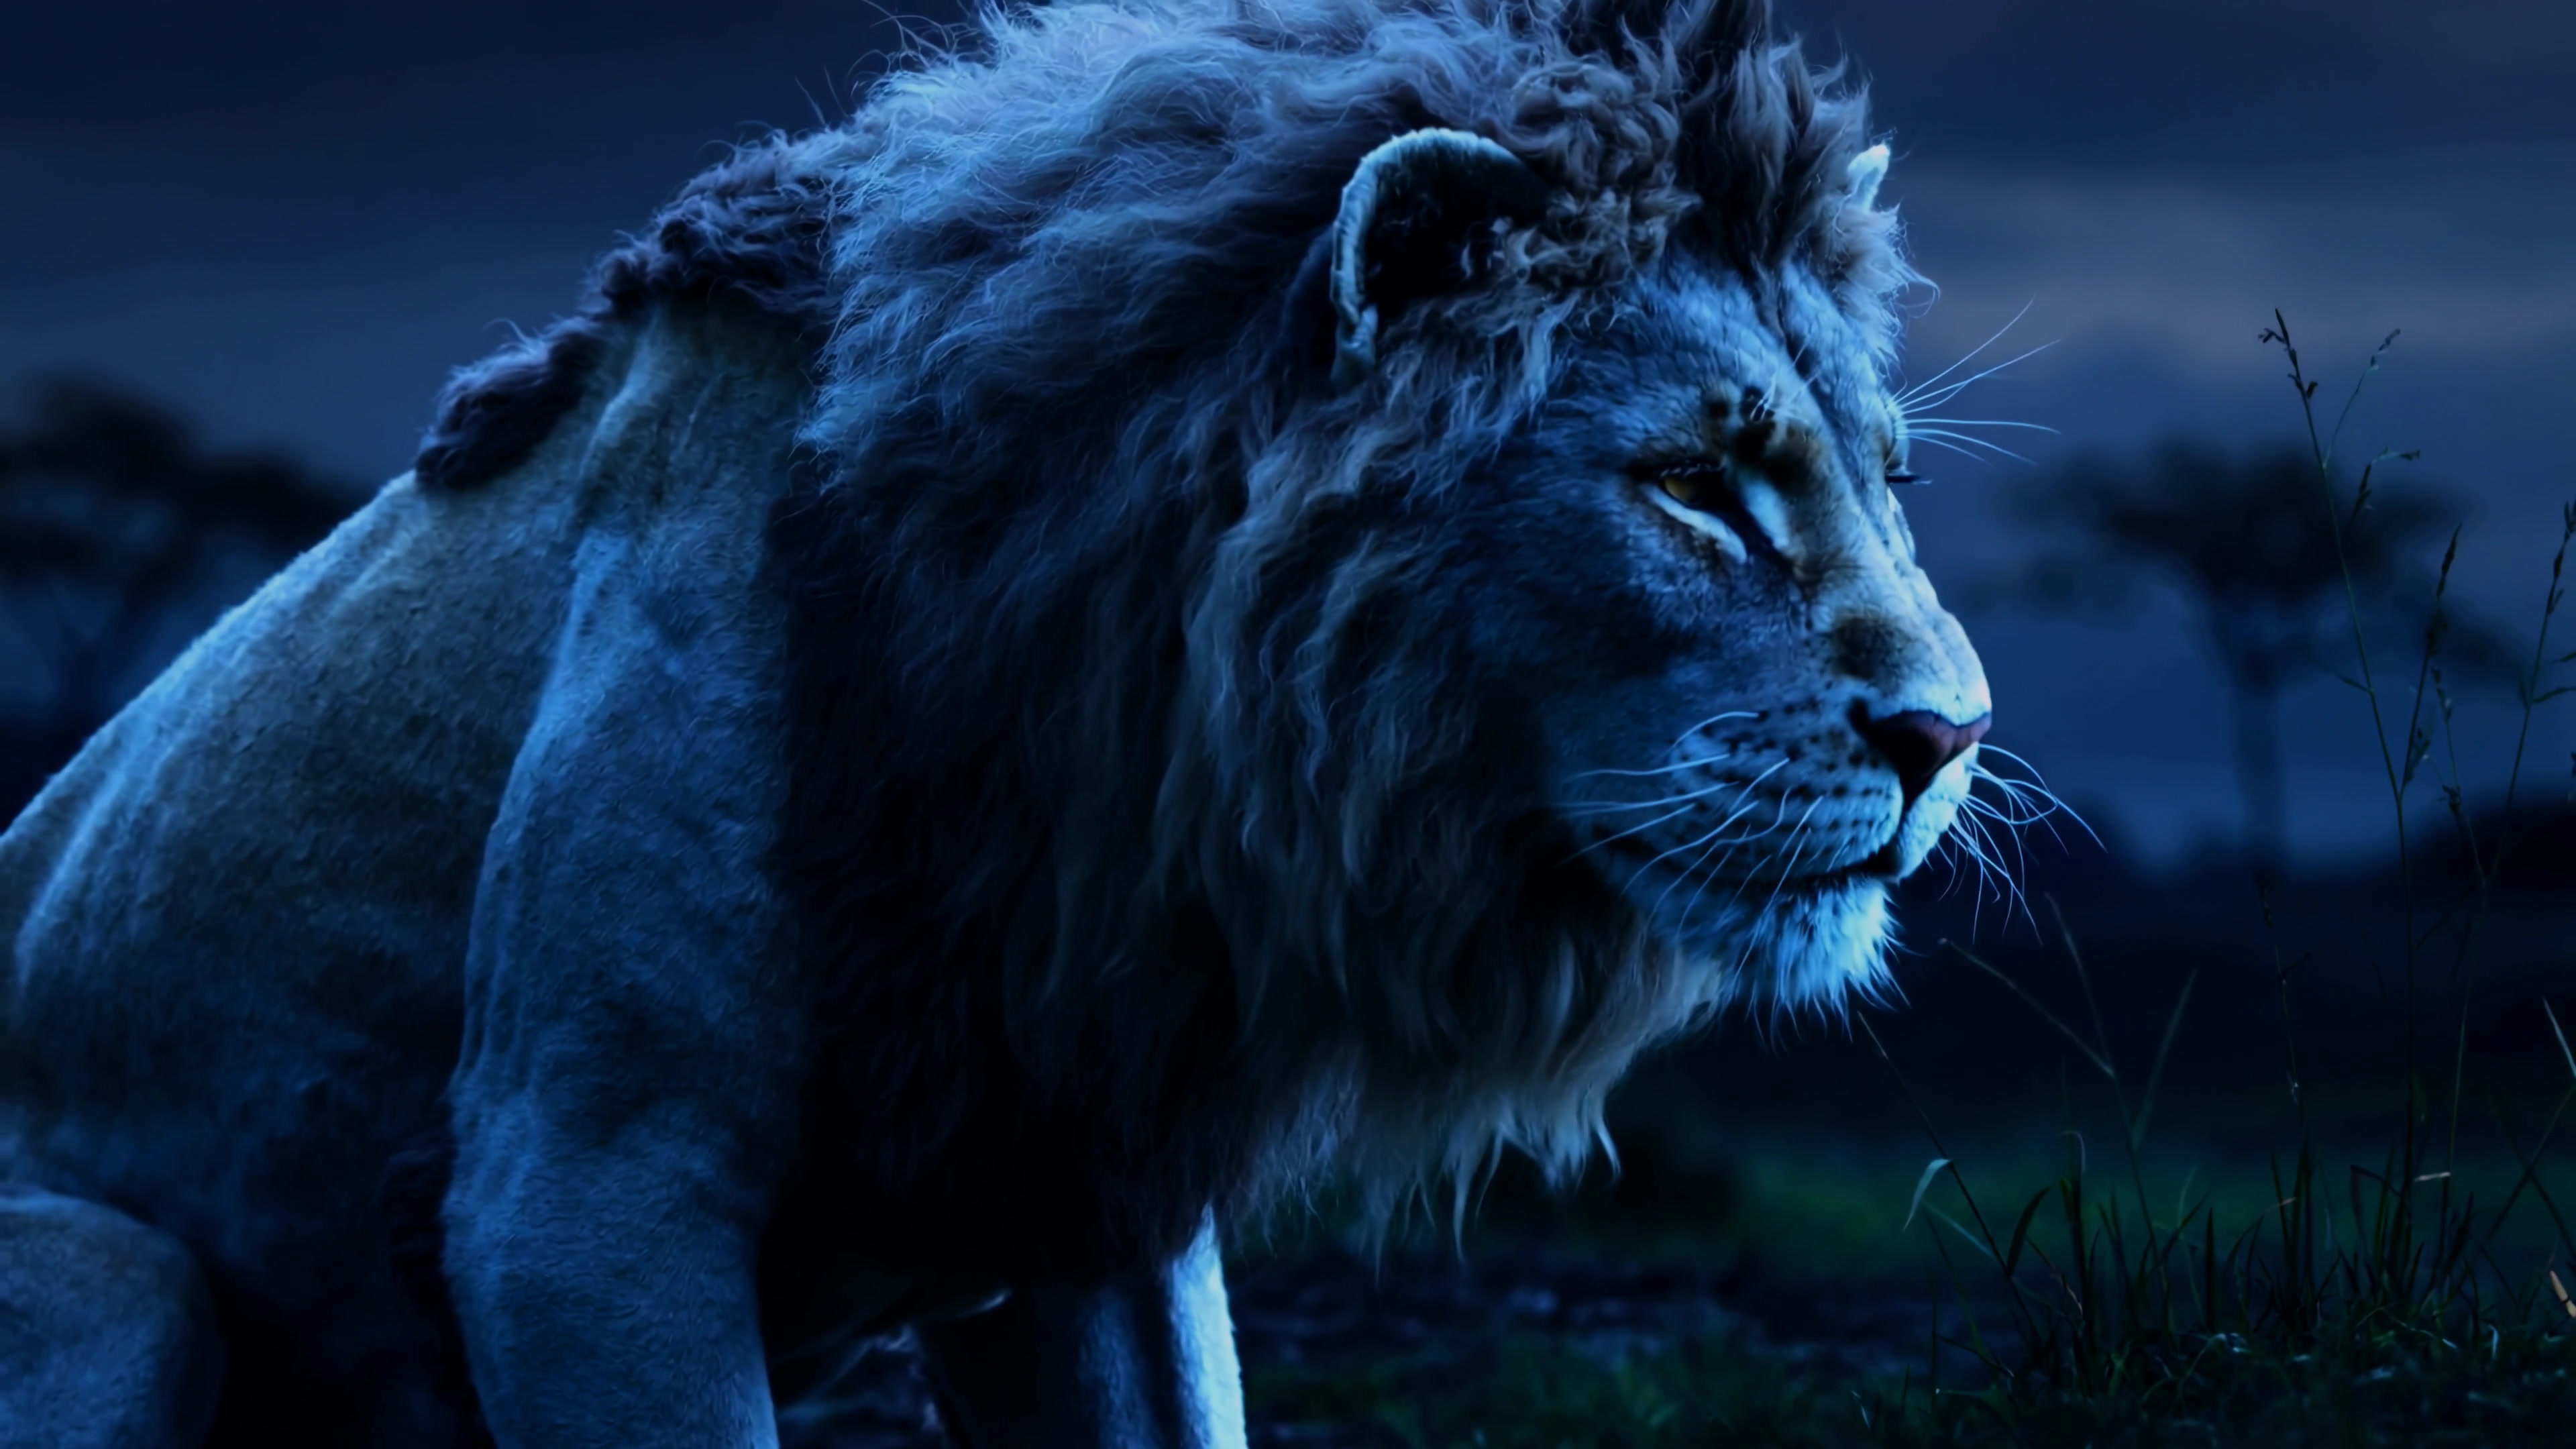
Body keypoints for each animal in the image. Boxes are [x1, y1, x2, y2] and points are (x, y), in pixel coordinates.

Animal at [0, 0, 1991, 1444]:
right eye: (1692, 483)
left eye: (1889, 479)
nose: (1951, 736)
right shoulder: (580, 1186)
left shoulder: (1092, 1196)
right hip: (122, 1280)